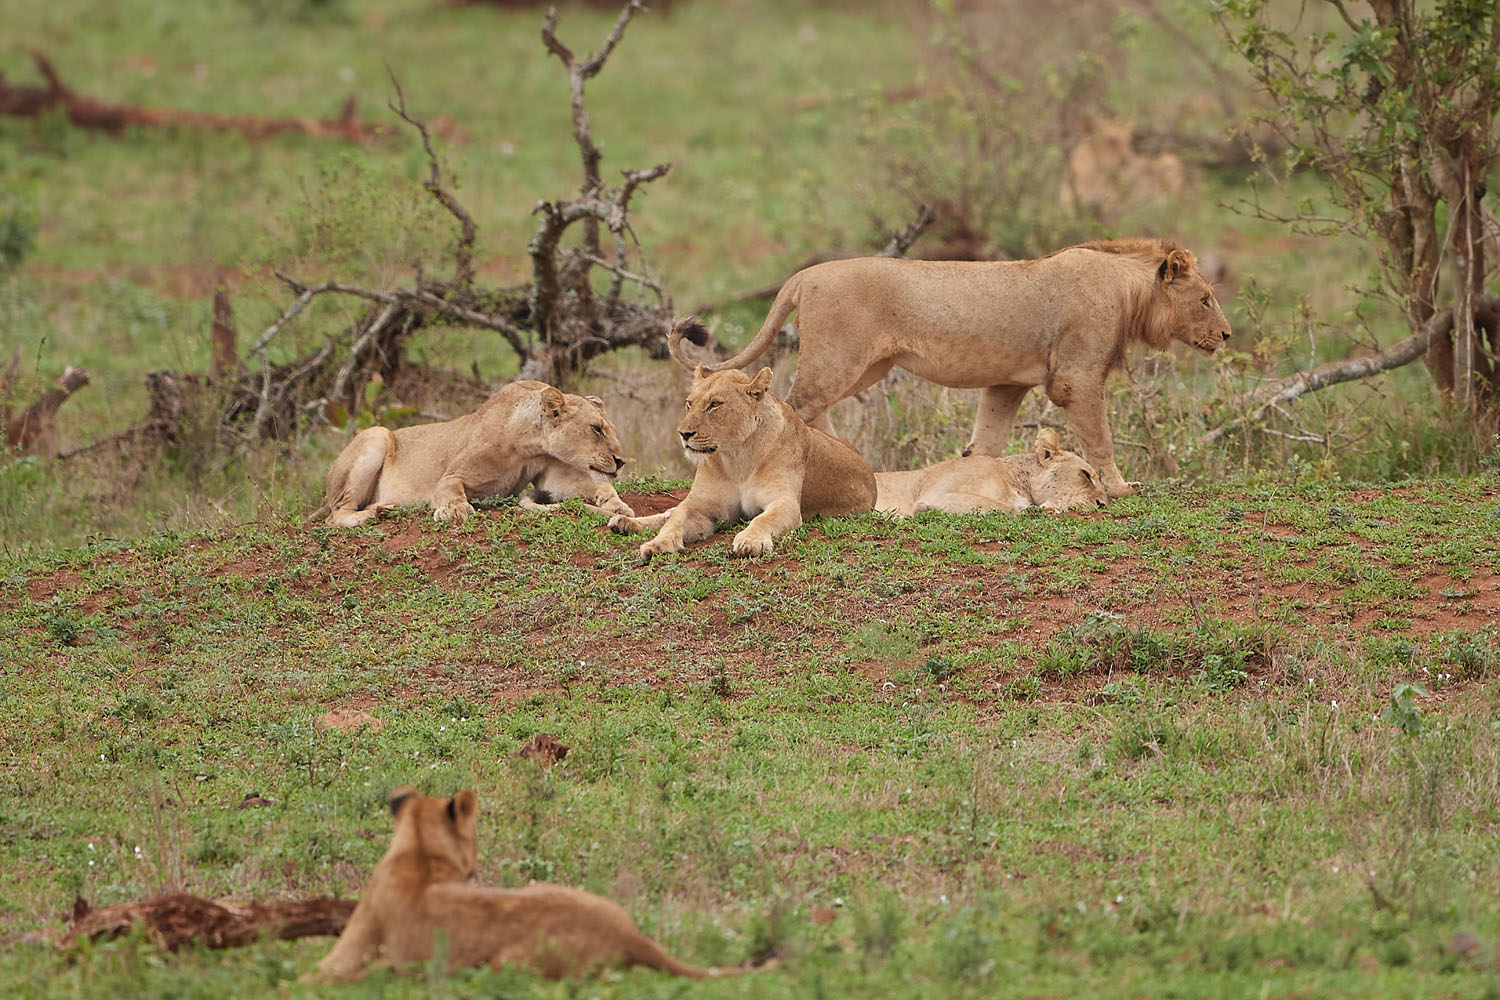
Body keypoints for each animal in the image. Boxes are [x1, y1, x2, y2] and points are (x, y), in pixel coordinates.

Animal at [308, 381, 633, 528]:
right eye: (597, 429)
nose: (621, 462)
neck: (530, 444)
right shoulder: (452, 476)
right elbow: (451, 490)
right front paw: (456, 510)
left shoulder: (549, 477)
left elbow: (594, 485)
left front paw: (617, 504)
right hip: (376, 433)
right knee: (336, 515)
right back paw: (378, 511)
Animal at [608, 366, 876, 559]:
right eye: (689, 403)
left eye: (715, 404)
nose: (683, 434)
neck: (736, 457)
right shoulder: (701, 506)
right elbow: (676, 519)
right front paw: (658, 544)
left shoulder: (785, 502)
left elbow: (763, 519)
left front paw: (750, 540)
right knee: (669, 513)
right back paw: (624, 522)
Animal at [669, 238, 1230, 498]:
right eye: (1205, 299)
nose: (1226, 335)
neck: (1130, 293)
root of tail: (804, 274)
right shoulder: (1076, 379)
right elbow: (1102, 438)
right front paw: (1118, 487)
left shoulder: (1006, 383)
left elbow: (985, 442)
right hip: (839, 358)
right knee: (799, 404)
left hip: (869, 366)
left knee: (813, 408)